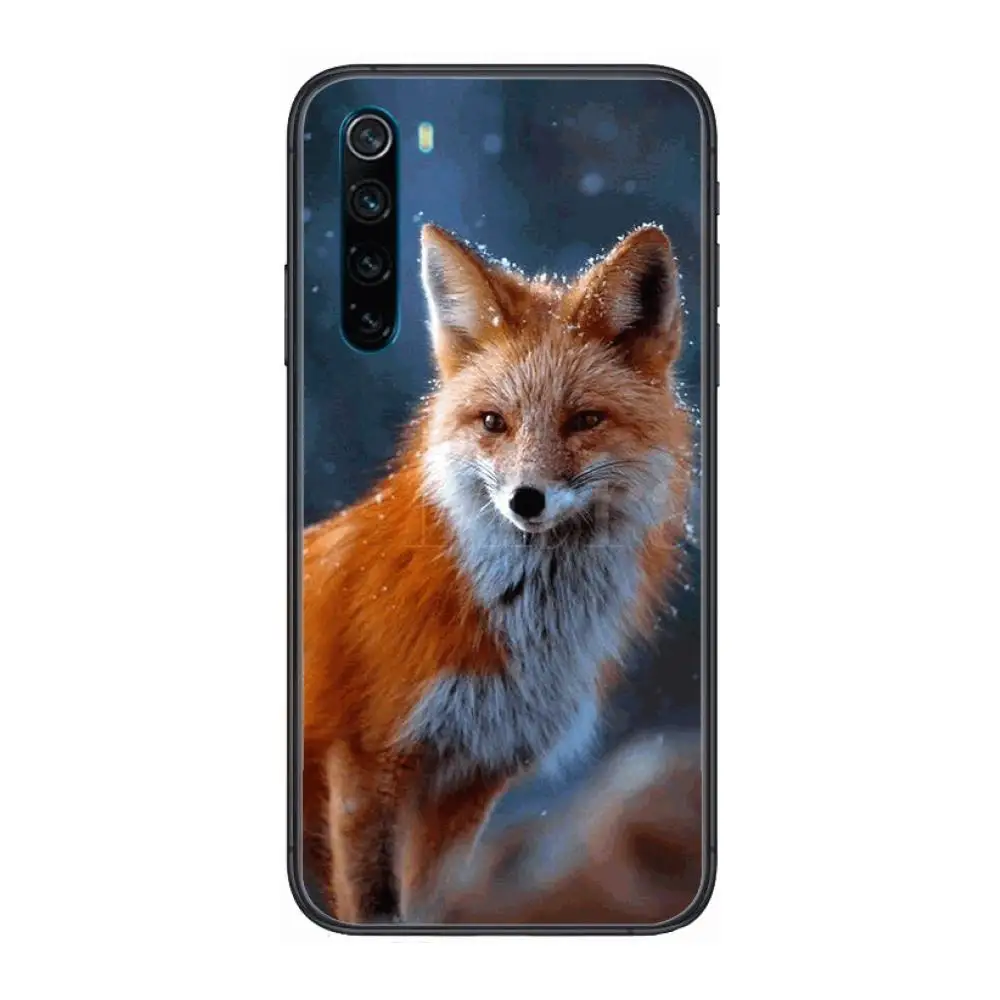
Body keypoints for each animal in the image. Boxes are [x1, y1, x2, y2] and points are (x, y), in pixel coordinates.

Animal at [302, 222, 692, 924]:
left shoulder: (471, 780)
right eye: (493, 423)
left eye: (585, 420)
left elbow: (433, 909)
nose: (525, 500)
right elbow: (377, 907)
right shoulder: (367, 763)